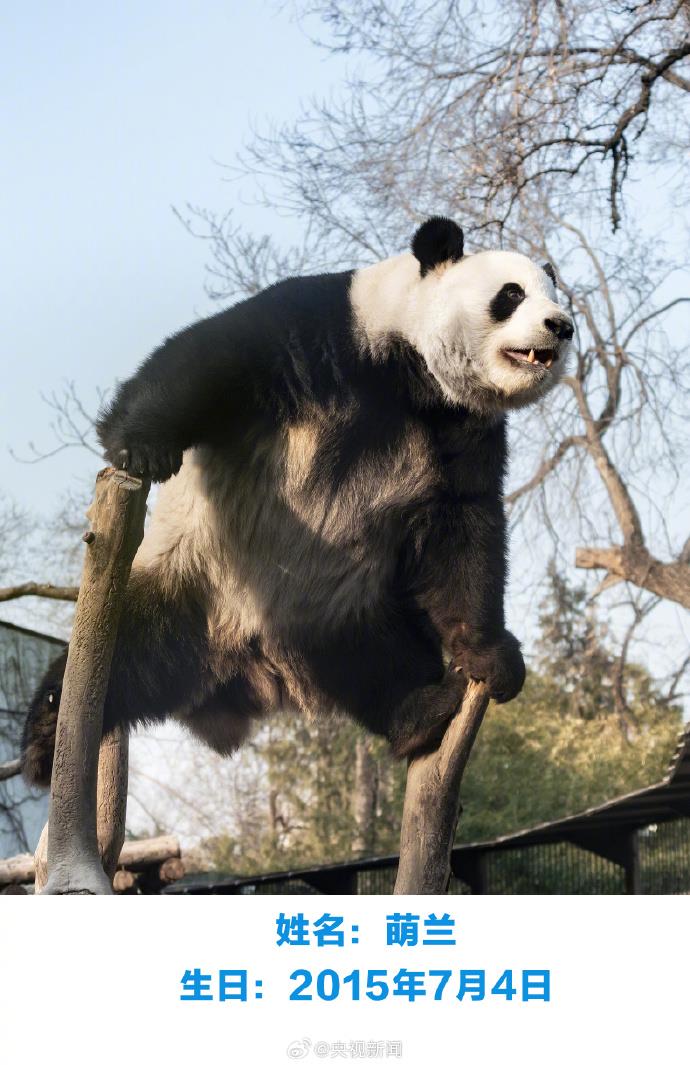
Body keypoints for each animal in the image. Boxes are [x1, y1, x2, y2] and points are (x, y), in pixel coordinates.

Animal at [20, 216, 570, 788]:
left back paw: (422, 711)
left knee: (376, 661)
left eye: (555, 294)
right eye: (512, 294)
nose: (561, 326)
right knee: (126, 650)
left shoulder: (459, 425)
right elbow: (209, 359)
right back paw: (46, 737)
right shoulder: (328, 331)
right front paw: (140, 447)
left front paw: (491, 658)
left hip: (337, 600)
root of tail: (249, 663)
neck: (410, 375)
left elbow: (462, 526)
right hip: (190, 575)